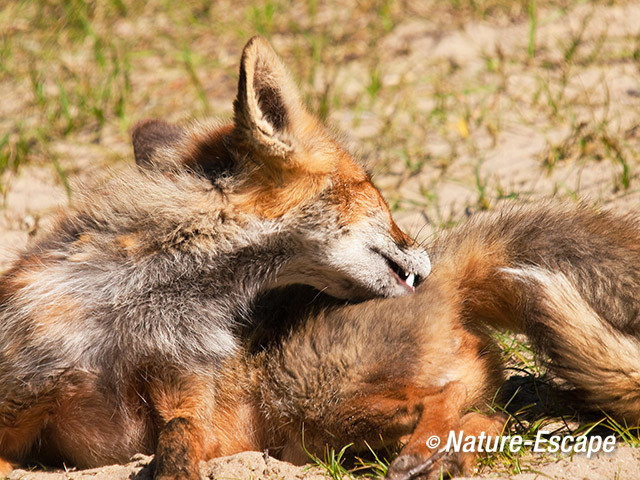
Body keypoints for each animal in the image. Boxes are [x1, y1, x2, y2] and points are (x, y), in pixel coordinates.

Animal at [0, 35, 432, 478]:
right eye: (369, 184)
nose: (425, 258)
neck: (132, 313)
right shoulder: (20, 401)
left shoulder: (187, 389)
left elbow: (178, 439)